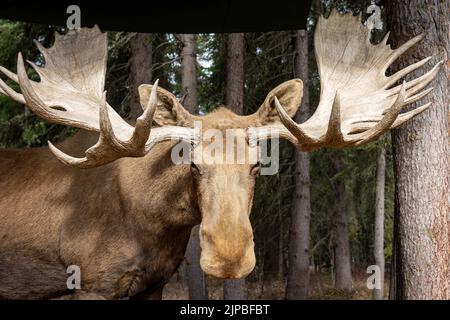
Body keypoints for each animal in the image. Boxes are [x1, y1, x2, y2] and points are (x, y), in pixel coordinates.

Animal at [0, 10, 440, 300]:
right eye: (192, 163)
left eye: (258, 164)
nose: (229, 257)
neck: (155, 224)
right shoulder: (93, 282)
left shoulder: (153, 285)